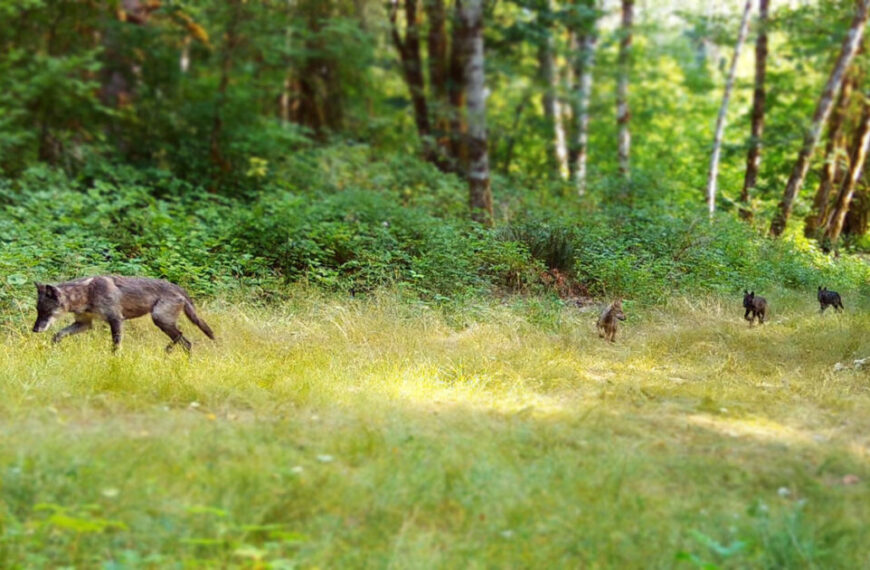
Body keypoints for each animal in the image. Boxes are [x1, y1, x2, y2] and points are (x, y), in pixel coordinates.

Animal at [33, 276, 214, 352]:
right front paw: (52, 350)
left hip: (159, 319)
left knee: (183, 339)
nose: (34, 330)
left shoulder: (116, 320)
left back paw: (169, 351)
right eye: (38, 311)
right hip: (162, 321)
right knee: (186, 343)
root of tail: (178, 288)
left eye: (46, 311)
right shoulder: (84, 324)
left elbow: (115, 346)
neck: (86, 293)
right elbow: (57, 335)